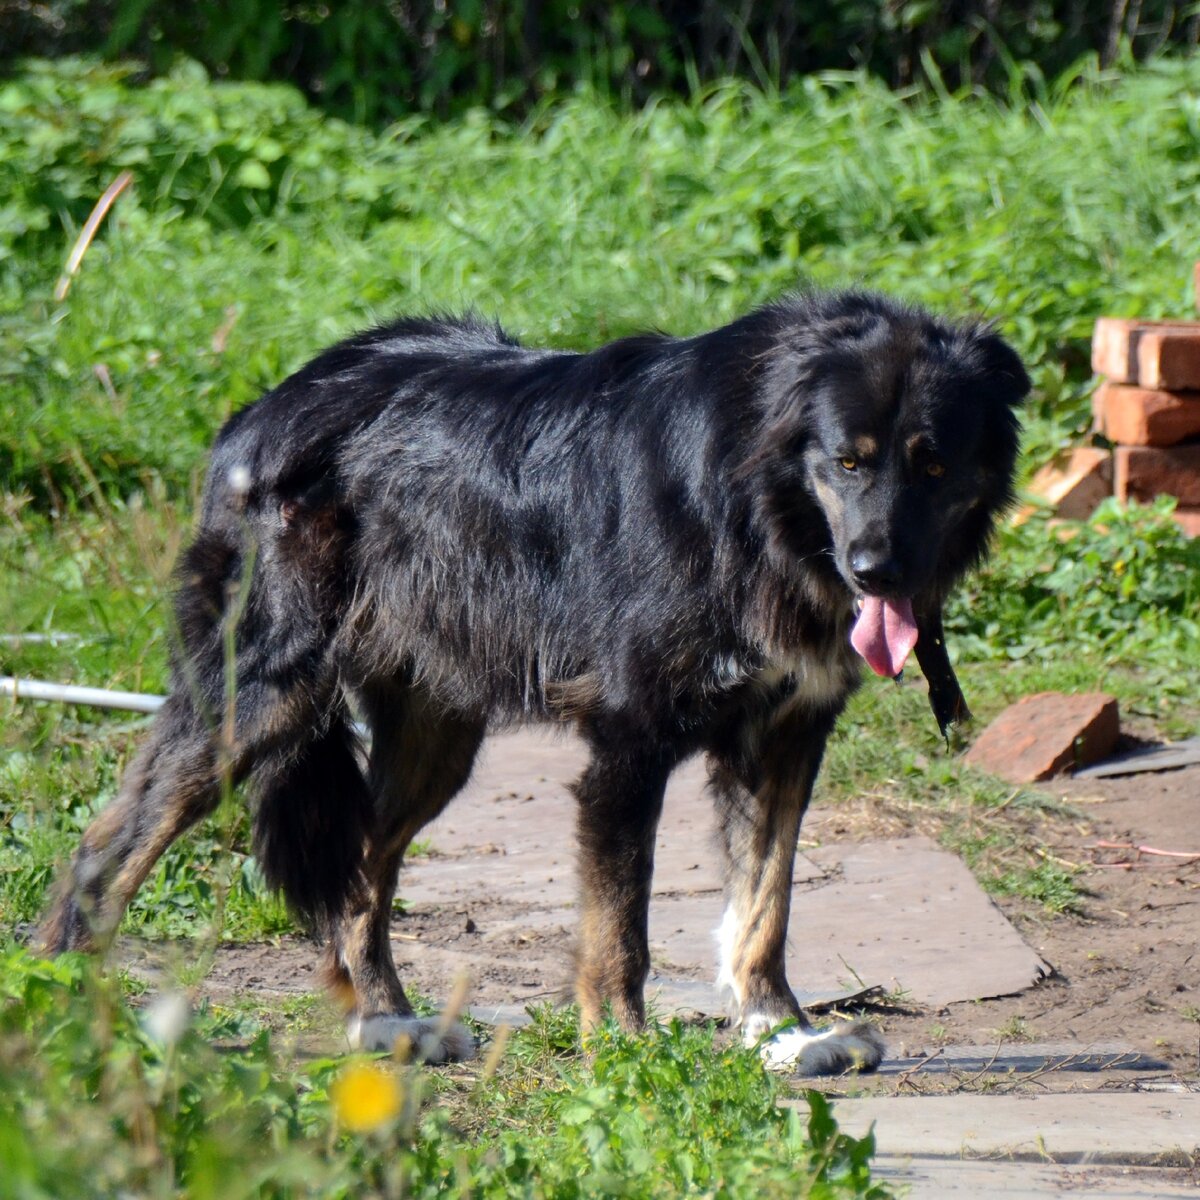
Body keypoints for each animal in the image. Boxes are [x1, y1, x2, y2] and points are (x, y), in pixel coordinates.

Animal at [39, 292, 1032, 1080]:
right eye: (848, 461)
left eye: (933, 464)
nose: (876, 572)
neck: (754, 505)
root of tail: (260, 411)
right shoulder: (627, 742)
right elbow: (620, 925)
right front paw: (625, 1049)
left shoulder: (785, 735)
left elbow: (766, 901)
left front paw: (779, 1030)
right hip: (260, 700)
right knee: (110, 843)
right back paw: (61, 1002)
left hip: (436, 741)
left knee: (360, 873)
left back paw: (388, 1023)